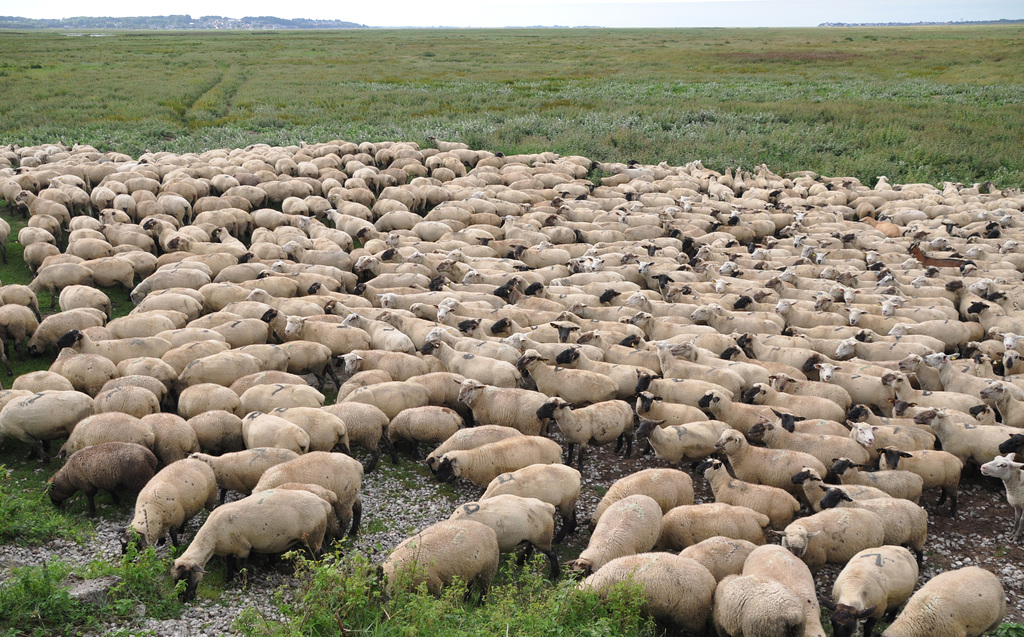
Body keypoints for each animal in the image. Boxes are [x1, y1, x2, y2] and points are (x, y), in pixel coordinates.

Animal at [171, 489, 331, 602]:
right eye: (175, 579)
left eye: (186, 576)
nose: (183, 600)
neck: (212, 537)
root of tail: (323, 502)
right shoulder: (229, 549)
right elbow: (229, 564)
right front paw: (228, 579)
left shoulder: (243, 548)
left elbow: (240, 567)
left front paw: (243, 585)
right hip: (318, 534)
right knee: (324, 549)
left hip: (313, 535)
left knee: (318, 553)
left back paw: (318, 571)